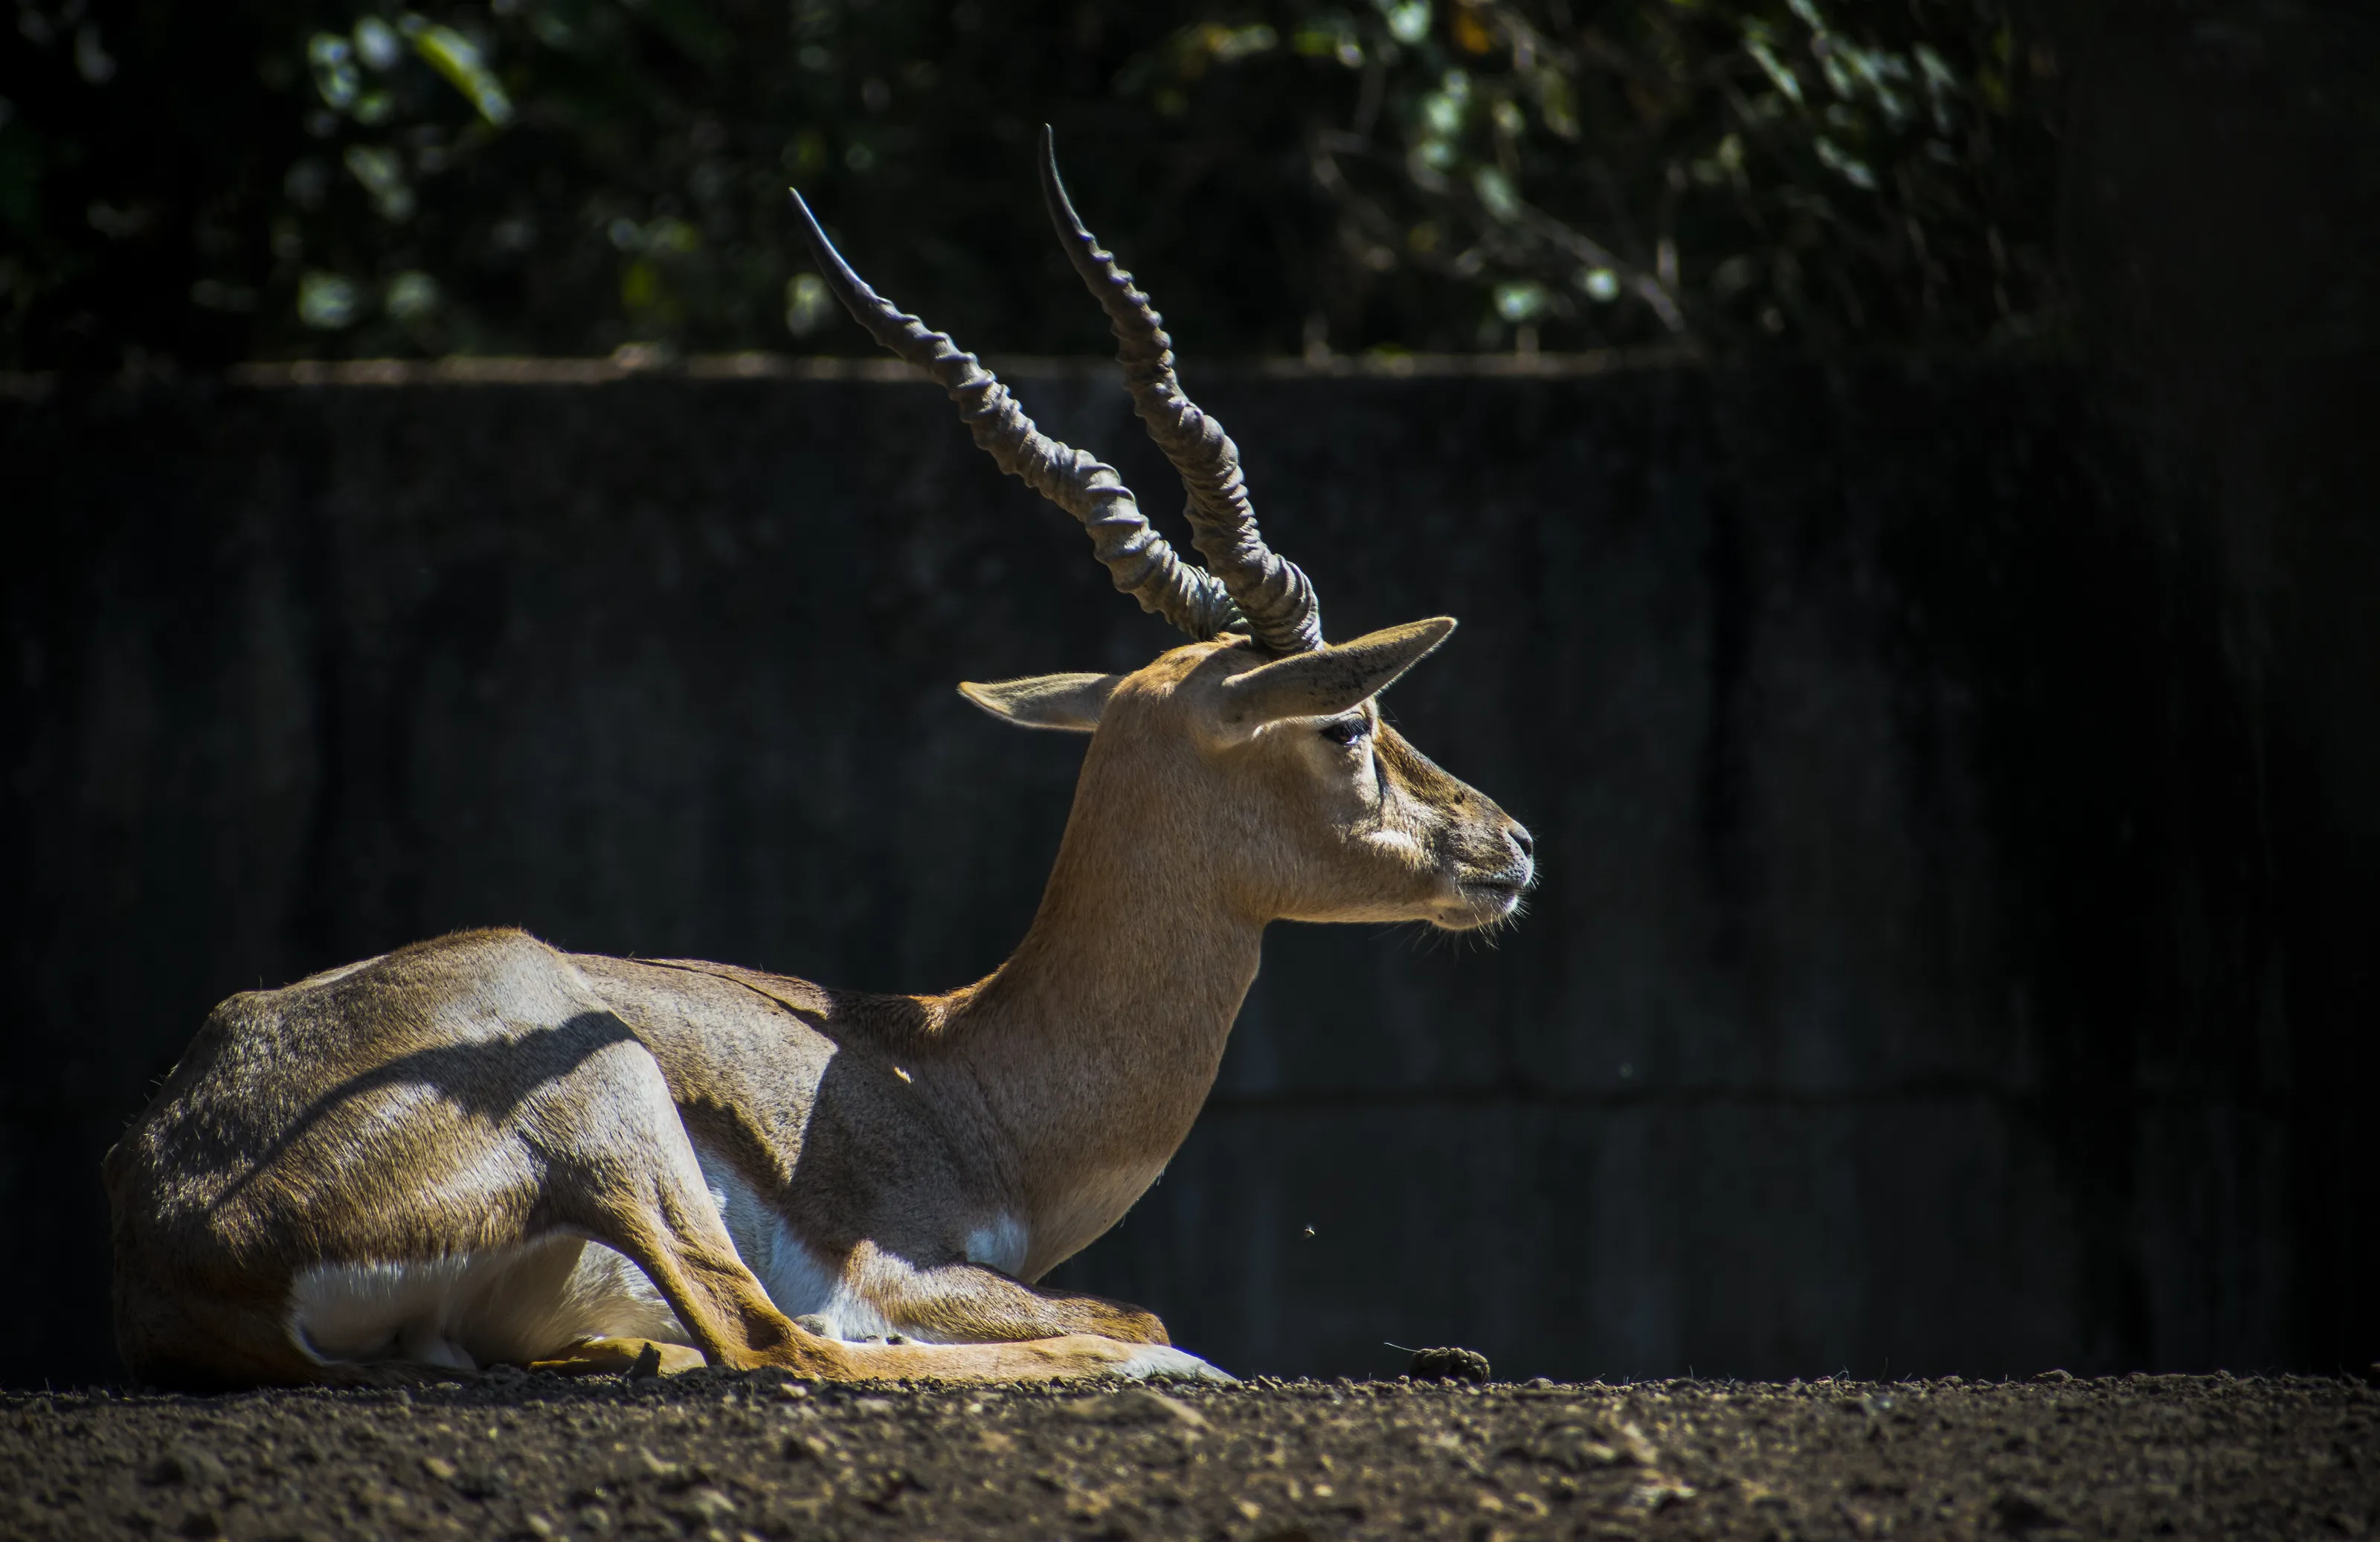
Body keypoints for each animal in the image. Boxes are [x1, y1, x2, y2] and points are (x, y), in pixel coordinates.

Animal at [103, 131, 1535, 1390]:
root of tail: (179, 1233)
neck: (962, 1075)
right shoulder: (891, 1265)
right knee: (777, 1344)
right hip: (615, 1102)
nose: (1510, 844)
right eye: (1347, 723)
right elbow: (1098, 1301)